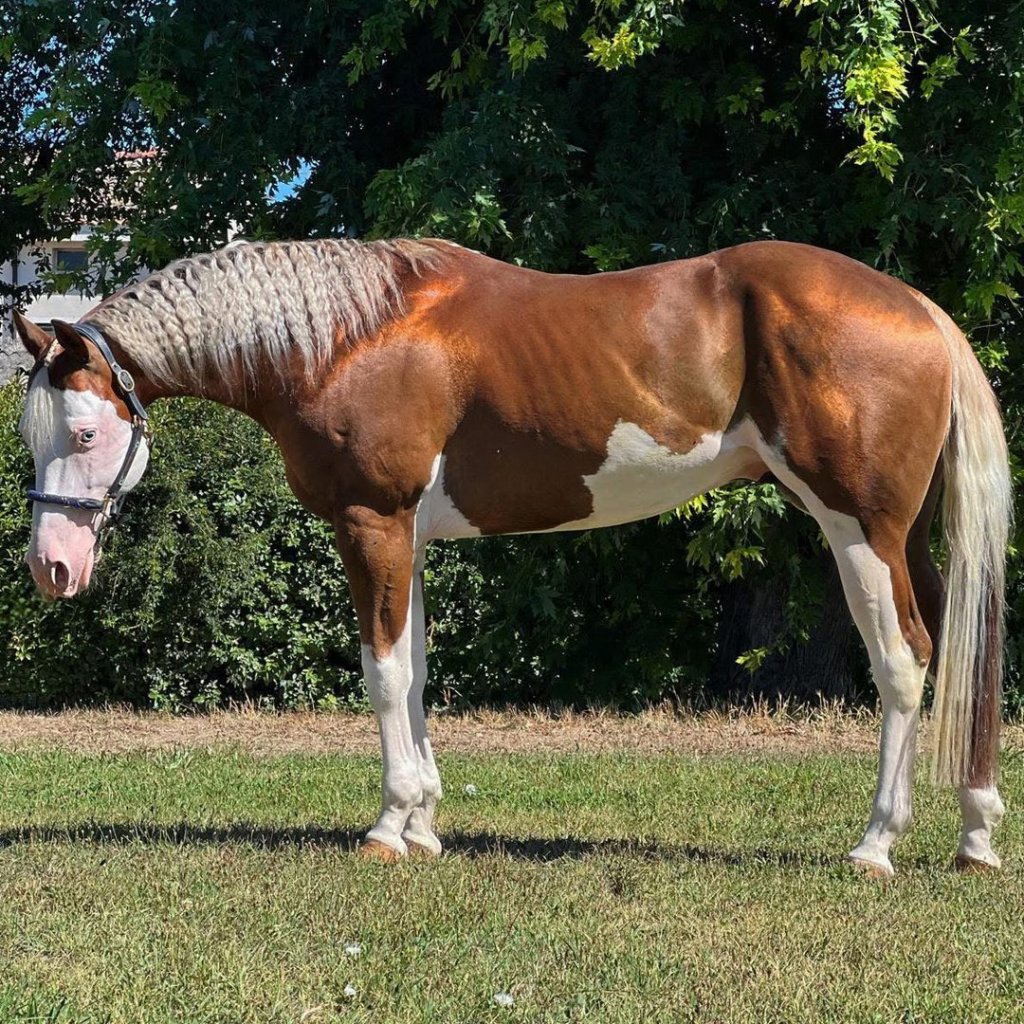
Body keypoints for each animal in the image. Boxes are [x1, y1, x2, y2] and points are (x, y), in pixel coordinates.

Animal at [14, 237, 1010, 876]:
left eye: (87, 431)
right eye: (30, 436)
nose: (50, 569)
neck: (347, 337)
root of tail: (919, 308)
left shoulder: (371, 526)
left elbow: (381, 674)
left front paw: (389, 827)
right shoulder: (408, 539)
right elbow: (415, 672)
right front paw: (424, 825)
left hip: (859, 531)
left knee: (906, 661)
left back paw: (877, 845)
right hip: (909, 539)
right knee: (963, 656)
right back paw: (975, 836)